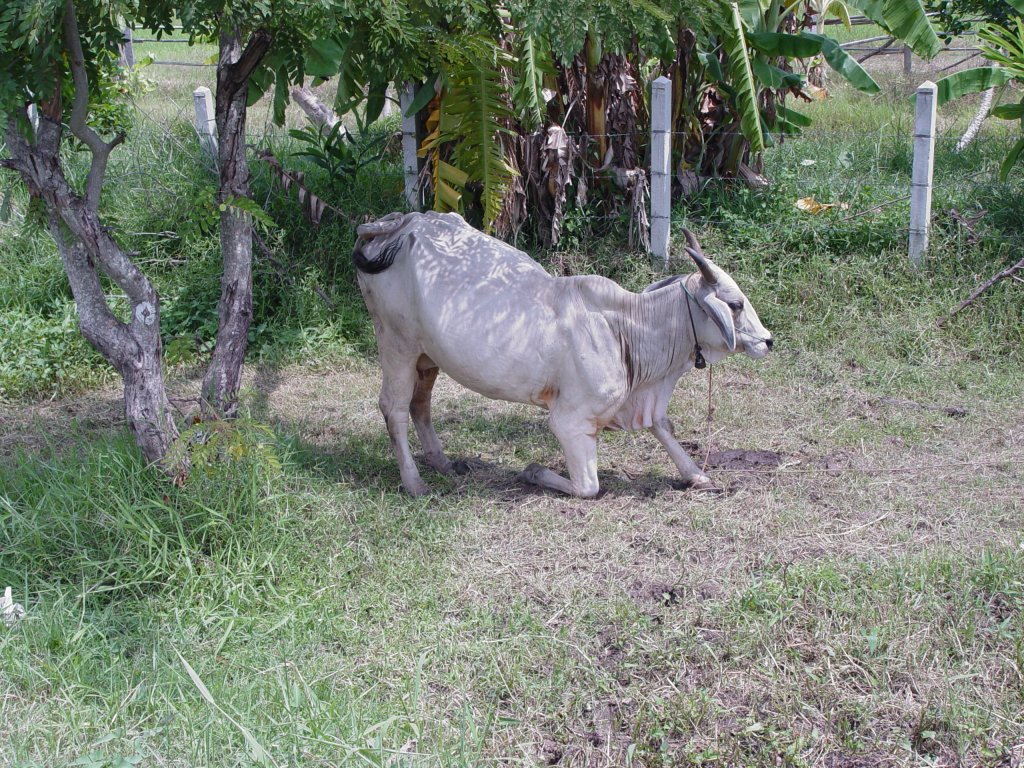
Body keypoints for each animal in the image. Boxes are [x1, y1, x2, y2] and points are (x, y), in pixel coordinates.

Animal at [356, 214, 770, 499]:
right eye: (734, 304)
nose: (767, 341)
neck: (627, 329)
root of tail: (401, 224)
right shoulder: (571, 422)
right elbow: (588, 487)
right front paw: (533, 472)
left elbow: (663, 427)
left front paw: (697, 475)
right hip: (397, 345)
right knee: (394, 408)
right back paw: (414, 482)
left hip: (428, 357)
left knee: (420, 405)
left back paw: (442, 462)